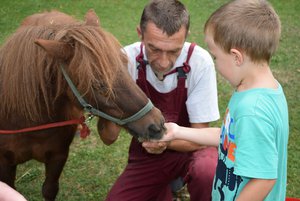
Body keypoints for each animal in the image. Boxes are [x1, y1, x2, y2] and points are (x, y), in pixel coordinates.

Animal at [0, 9, 164, 201]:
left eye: (125, 64)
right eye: (98, 84)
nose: (157, 124)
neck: (29, 121)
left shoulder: (58, 156)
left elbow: (49, 190)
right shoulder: (5, 164)